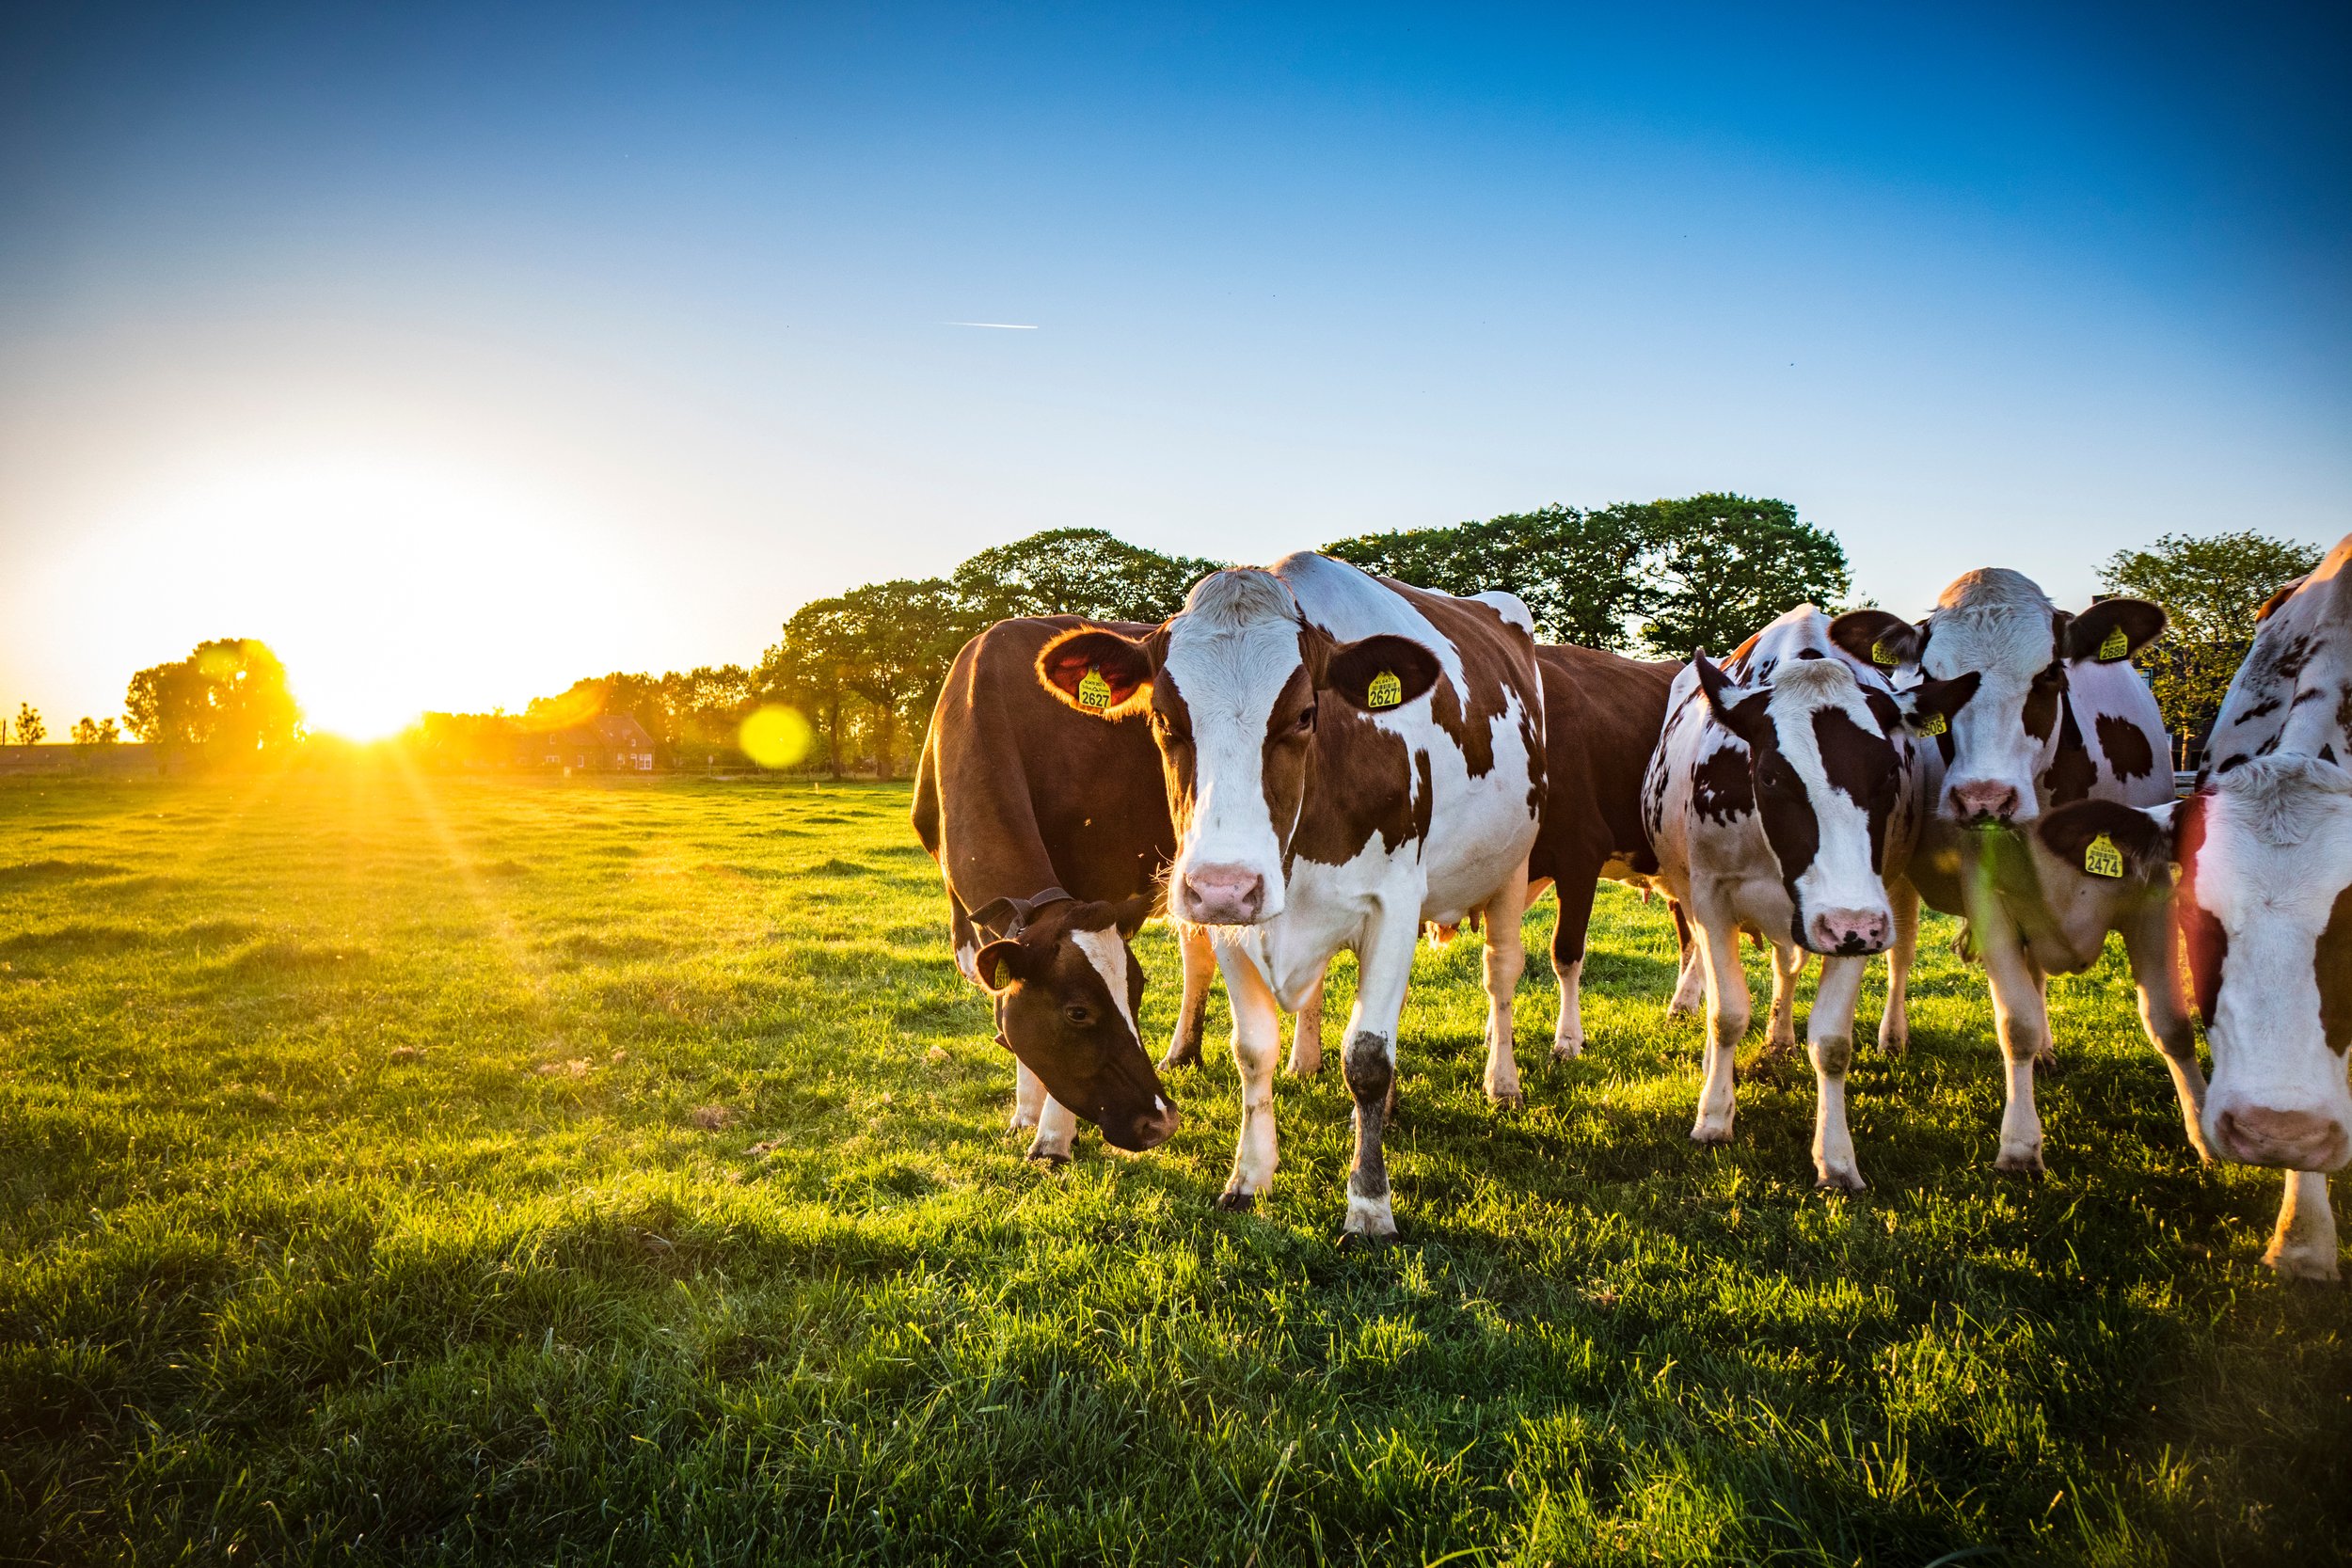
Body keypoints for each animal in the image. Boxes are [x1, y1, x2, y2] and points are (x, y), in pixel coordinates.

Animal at [912, 615, 1210, 1161]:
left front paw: (1052, 1138)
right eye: (1078, 1012)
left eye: (1137, 993)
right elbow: (1004, 993)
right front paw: (1025, 1114)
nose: (1160, 1123)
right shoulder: (976, 917)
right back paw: (1182, 1055)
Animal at [1031, 554, 1547, 1236]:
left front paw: (1369, 1203)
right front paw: (1249, 1177)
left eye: (1305, 714)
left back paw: (1502, 1081)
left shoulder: (1394, 902)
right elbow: (1253, 1050)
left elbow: (1368, 1057)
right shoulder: (1233, 922)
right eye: (1164, 719)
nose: (1224, 884)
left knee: (1501, 972)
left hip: (1513, 866)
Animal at [1641, 607, 1973, 1188]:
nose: (1848, 924)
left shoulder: (1859, 915)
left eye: (1889, 771)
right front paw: (1714, 1116)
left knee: (1882, 959)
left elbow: (1833, 1042)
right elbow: (1727, 1014)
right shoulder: (1711, 896)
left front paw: (1836, 1158)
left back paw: (1860, 1036)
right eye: (1772, 776)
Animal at [1830, 571, 2207, 1174]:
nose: (1983, 798)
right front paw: (2020, 1145)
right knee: (1903, 953)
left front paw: (2204, 1134)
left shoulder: (2152, 894)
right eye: (1933, 678)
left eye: (2050, 674)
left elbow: (2170, 1024)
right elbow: (2017, 1024)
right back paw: (1894, 1036)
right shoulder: (1988, 901)